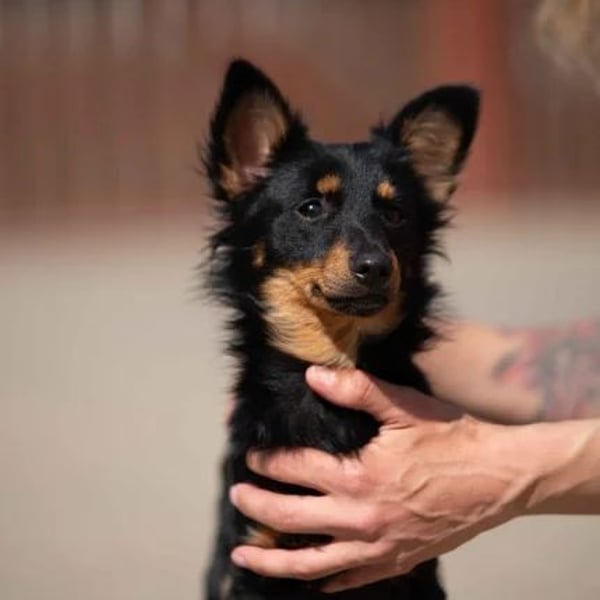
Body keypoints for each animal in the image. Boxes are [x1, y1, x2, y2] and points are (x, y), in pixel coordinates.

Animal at [203, 59, 479, 599]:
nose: (376, 266)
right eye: (311, 208)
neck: (333, 357)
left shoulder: (410, 566)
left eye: (395, 213)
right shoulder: (258, 556)